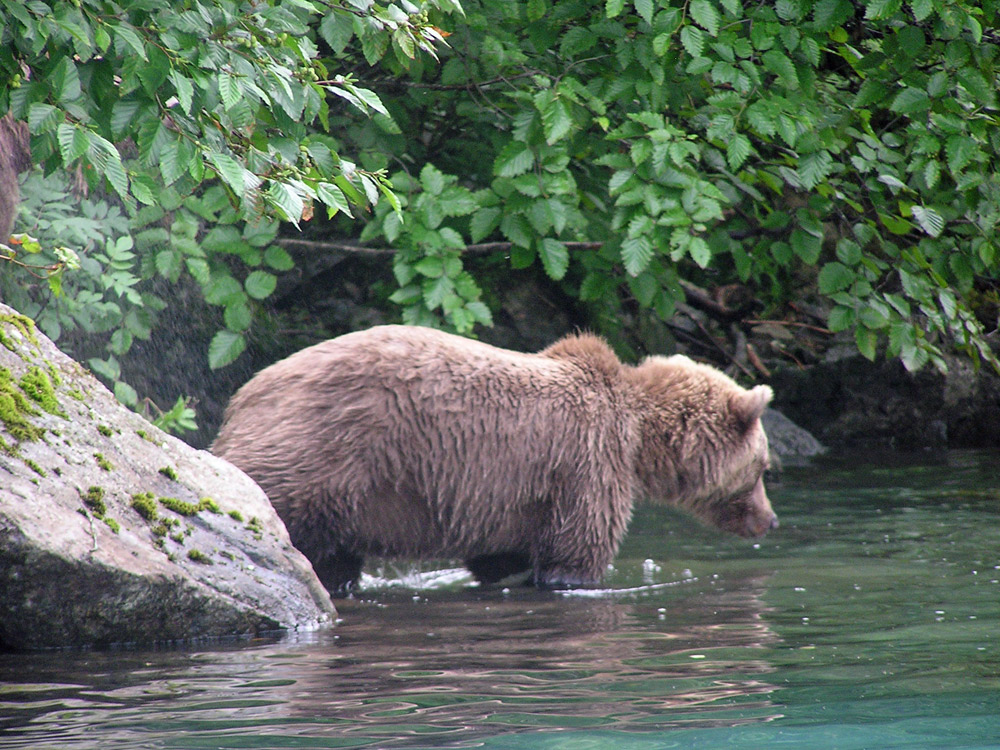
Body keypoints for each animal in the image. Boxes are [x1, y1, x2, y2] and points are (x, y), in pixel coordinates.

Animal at [213, 326, 780, 596]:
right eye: (763, 467)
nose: (770, 520)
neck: (639, 436)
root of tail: (239, 401)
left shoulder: (517, 494)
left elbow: (502, 553)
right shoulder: (586, 464)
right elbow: (576, 553)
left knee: (334, 560)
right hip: (323, 455)